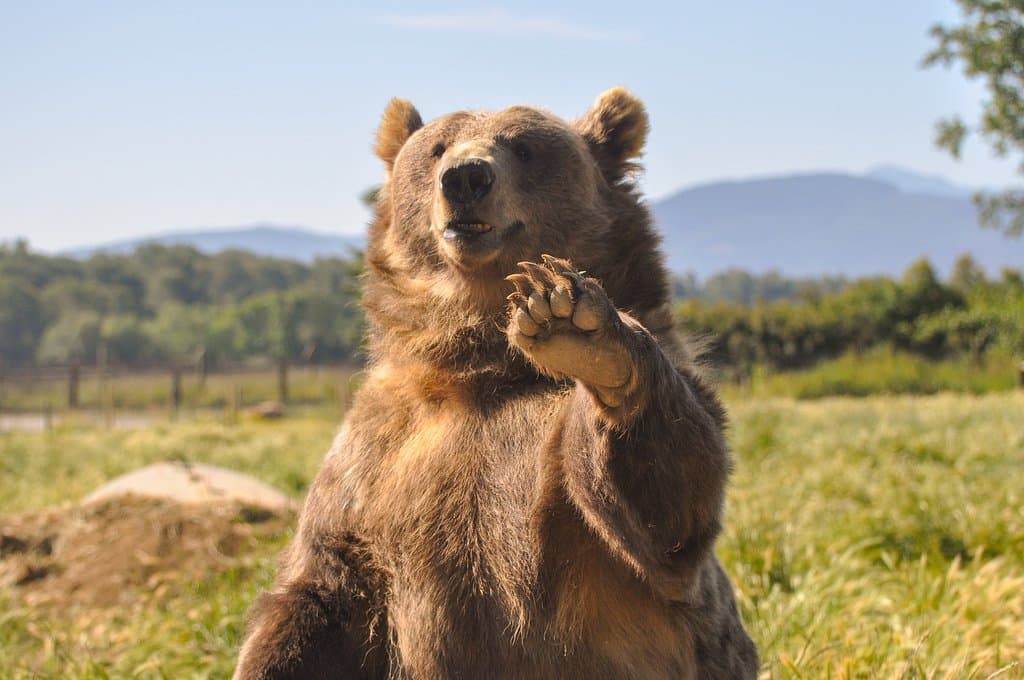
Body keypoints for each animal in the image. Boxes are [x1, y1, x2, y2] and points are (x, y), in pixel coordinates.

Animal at [233, 87, 759, 679]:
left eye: (524, 147)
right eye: (437, 148)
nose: (465, 178)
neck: (481, 362)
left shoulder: (558, 473)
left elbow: (670, 514)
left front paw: (579, 327)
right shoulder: (376, 458)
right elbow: (314, 593)